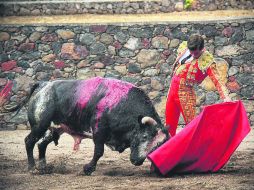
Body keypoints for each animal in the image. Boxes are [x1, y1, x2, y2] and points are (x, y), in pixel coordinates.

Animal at [11, 77, 169, 175]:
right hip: (39, 125)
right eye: (144, 136)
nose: (137, 161)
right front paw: (88, 169)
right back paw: (32, 168)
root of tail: (44, 85)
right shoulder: (99, 131)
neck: (123, 104)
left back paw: (43, 167)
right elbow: (99, 152)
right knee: (29, 141)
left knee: (41, 144)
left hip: (55, 128)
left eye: (157, 146)